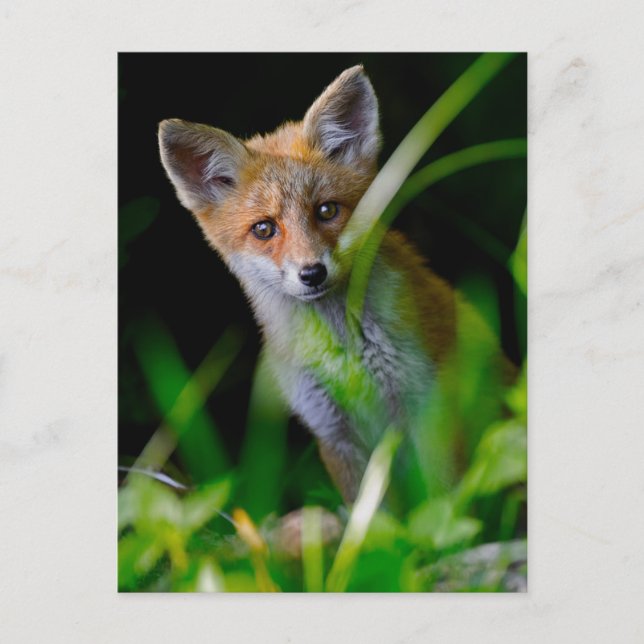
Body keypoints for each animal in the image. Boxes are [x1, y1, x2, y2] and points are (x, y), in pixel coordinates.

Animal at [158, 65, 510, 505]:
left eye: (326, 210)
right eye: (264, 229)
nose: (312, 273)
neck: (343, 353)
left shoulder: (429, 409)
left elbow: (440, 502)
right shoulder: (331, 431)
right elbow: (375, 516)